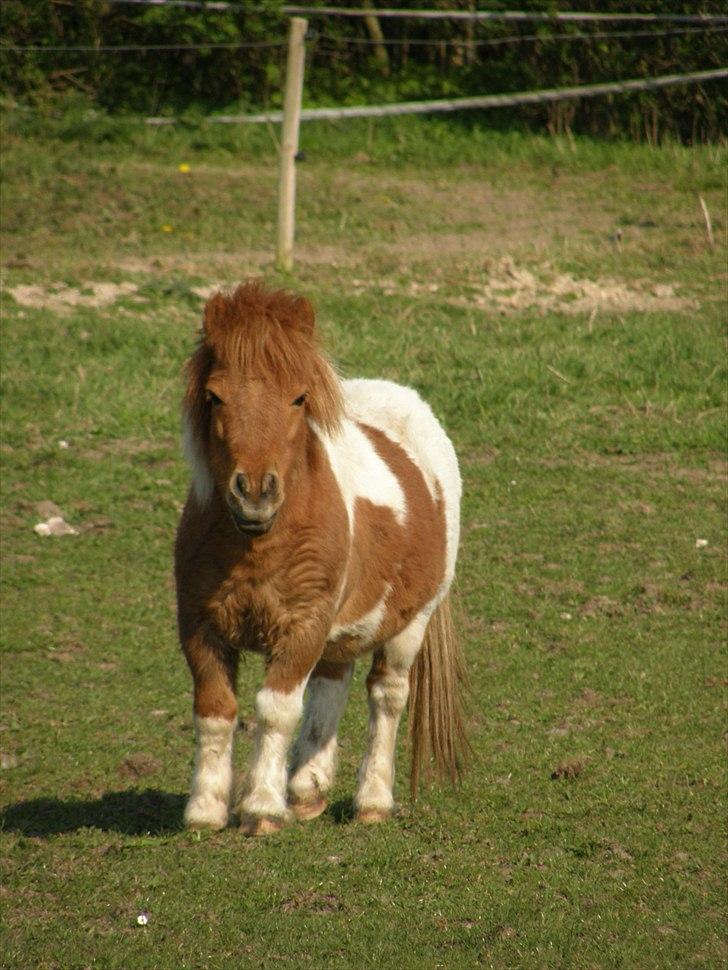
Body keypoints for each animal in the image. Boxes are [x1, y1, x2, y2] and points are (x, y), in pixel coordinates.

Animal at [174, 281, 466, 835]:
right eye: (215, 396)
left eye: (298, 397)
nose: (254, 494)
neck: (257, 543)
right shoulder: (200, 627)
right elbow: (215, 712)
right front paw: (205, 810)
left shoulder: (302, 626)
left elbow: (276, 711)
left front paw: (262, 809)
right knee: (333, 683)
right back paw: (307, 791)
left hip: (410, 624)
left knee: (386, 695)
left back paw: (372, 801)